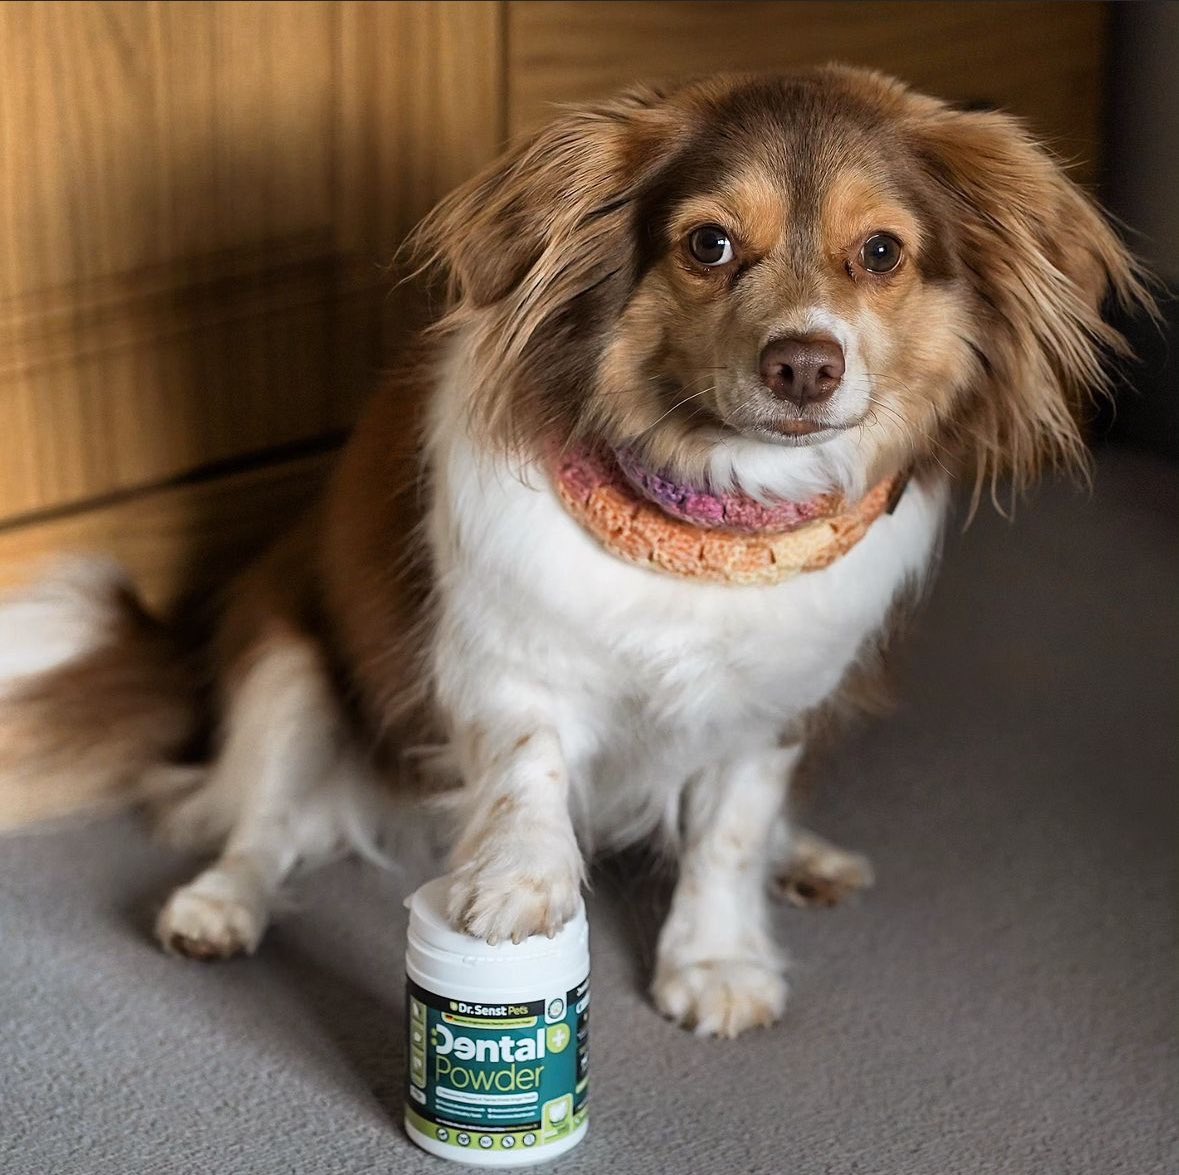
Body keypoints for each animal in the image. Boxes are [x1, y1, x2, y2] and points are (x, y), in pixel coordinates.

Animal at [0, 66, 1145, 1037]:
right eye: (709, 245)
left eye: (881, 253)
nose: (805, 364)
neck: (709, 522)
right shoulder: (504, 655)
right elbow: (529, 761)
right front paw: (519, 885)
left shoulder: (773, 701)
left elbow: (730, 827)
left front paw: (715, 958)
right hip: (289, 667)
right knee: (260, 821)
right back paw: (218, 904)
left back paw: (806, 855)